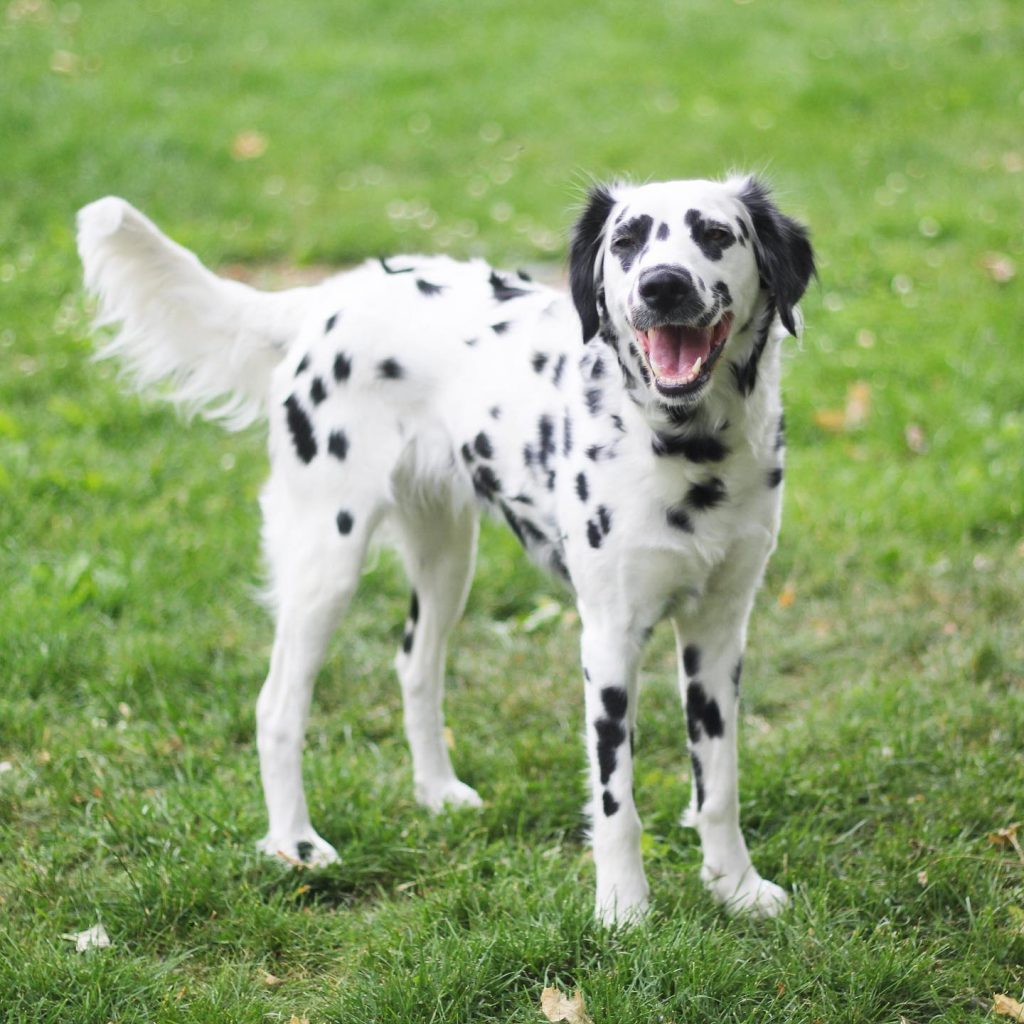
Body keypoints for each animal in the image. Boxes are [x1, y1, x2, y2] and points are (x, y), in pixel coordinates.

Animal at [77, 172, 815, 925]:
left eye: (716, 234)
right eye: (627, 241)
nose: (662, 285)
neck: (688, 450)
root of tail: (329, 297)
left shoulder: (718, 633)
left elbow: (717, 785)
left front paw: (735, 887)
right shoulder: (610, 637)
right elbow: (617, 803)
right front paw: (623, 910)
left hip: (447, 557)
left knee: (415, 666)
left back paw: (435, 792)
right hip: (326, 560)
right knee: (278, 705)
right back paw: (296, 844)